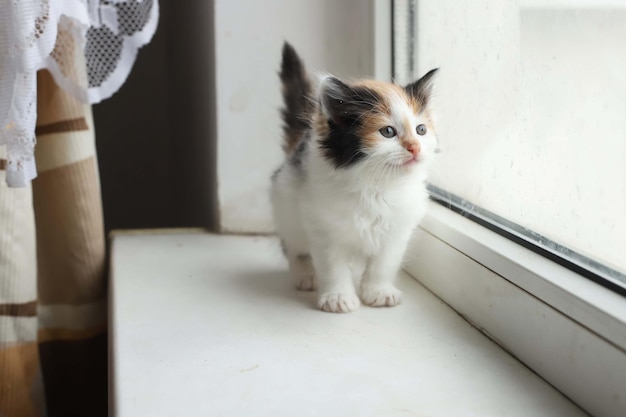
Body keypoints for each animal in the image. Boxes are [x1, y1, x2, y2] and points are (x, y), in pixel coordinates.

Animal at [270, 42, 436, 312]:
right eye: (387, 132)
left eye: (421, 130)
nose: (415, 147)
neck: (376, 186)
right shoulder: (322, 228)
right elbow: (333, 267)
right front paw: (337, 297)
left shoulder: (397, 230)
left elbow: (384, 264)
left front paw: (378, 292)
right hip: (286, 209)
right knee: (294, 249)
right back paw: (306, 275)